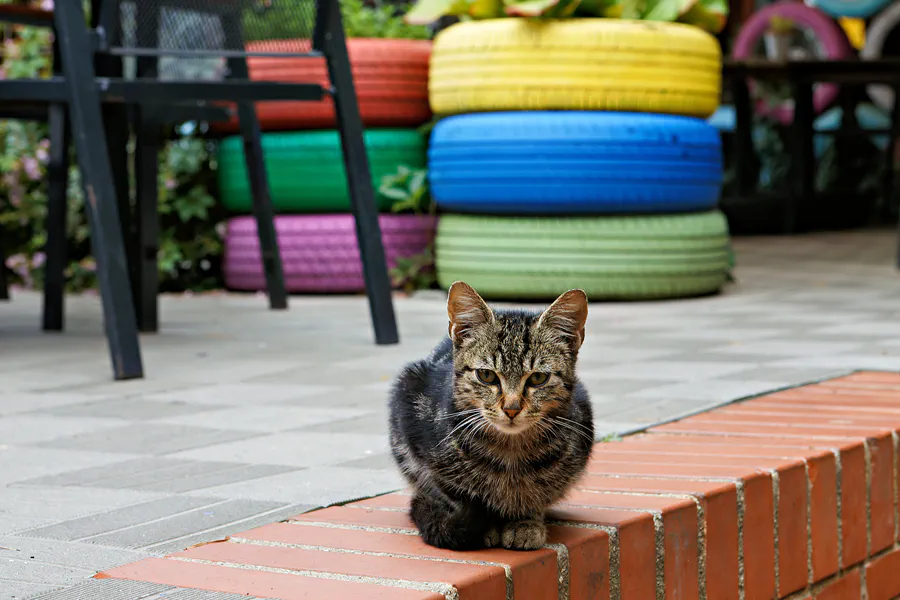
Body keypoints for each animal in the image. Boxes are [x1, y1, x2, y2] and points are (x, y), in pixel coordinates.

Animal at [384, 284, 592, 552]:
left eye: (538, 378)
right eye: (486, 375)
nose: (512, 408)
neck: (511, 452)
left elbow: (541, 493)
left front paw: (526, 522)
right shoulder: (426, 452)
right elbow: (459, 495)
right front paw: (488, 525)